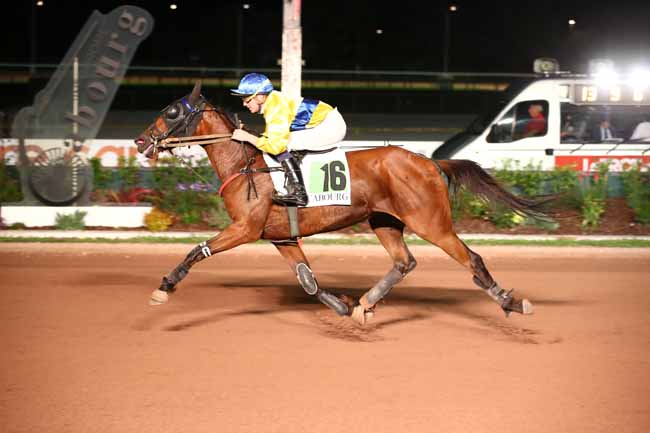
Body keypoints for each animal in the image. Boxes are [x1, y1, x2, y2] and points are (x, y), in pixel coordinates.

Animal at [135, 81, 541, 325]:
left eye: (172, 111)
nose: (140, 141)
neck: (244, 164)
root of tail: (430, 162)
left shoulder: (244, 229)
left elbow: (196, 250)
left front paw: (164, 287)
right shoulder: (282, 237)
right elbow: (308, 282)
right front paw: (343, 305)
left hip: (432, 223)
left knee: (471, 259)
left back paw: (510, 302)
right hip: (384, 221)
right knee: (404, 262)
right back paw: (366, 303)